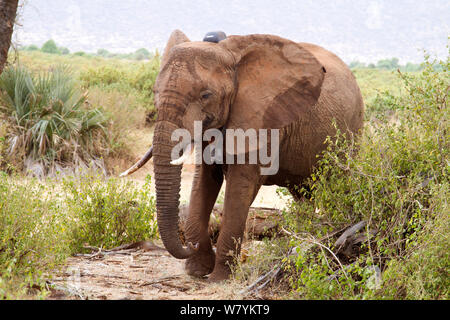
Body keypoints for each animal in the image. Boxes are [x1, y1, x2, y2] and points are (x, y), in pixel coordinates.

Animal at [122, 29, 366, 280]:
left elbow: (239, 187)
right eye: (155, 92)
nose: (189, 245)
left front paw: (219, 278)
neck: (230, 55)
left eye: (206, 95)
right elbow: (203, 181)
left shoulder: (261, 119)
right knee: (302, 193)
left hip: (353, 128)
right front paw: (197, 271)